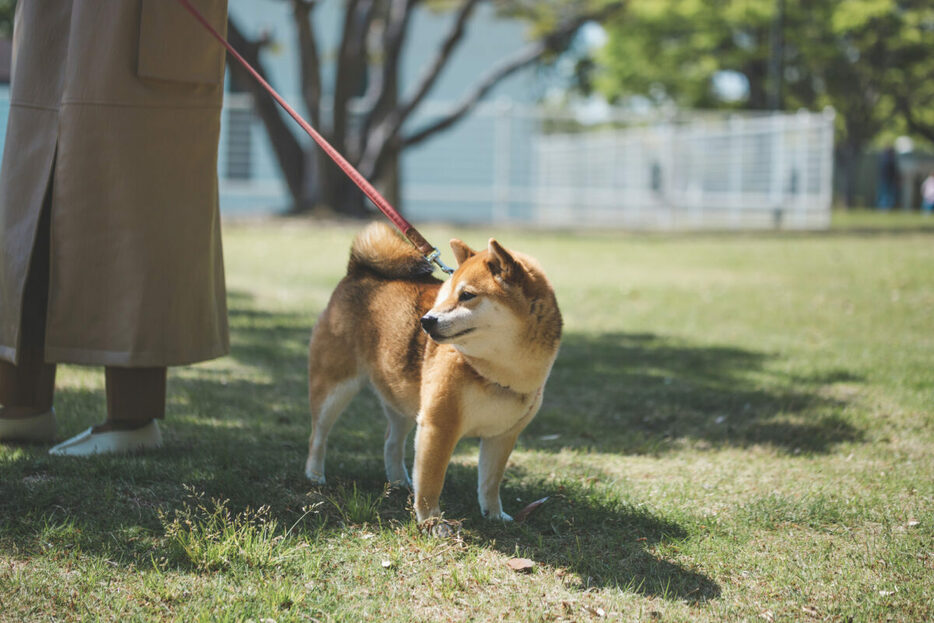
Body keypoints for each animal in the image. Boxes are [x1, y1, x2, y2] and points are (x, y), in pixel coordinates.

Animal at [306, 222, 564, 524]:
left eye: (467, 295)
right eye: (446, 294)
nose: (426, 321)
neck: (499, 370)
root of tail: (357, 271)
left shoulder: (503, 435)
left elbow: (490, 481)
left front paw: (494, 515)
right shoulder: (439, 426)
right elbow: (431, 482)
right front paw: (431, 521)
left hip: (403, 397)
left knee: (391, 442)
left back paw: (398, 482)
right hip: (334, 387)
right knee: (318, 435)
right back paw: (315, 475)